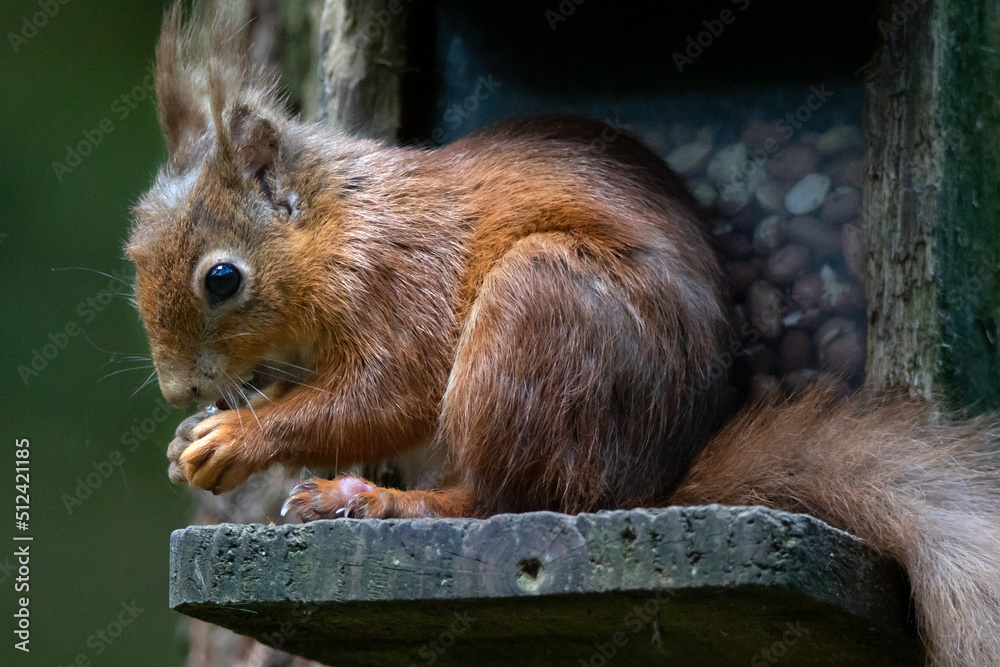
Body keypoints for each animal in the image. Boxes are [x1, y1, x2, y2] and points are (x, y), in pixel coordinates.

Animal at [127, 5, 1000, 666]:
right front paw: (186, 438)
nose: (178, 387)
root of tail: (644, 488)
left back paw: (380, 499)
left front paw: (237, 435)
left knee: (500, 500)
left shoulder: (400, 279)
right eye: (133, 254)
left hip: (538, 311)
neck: (337, 223)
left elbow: (386, 395)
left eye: (222, 278)